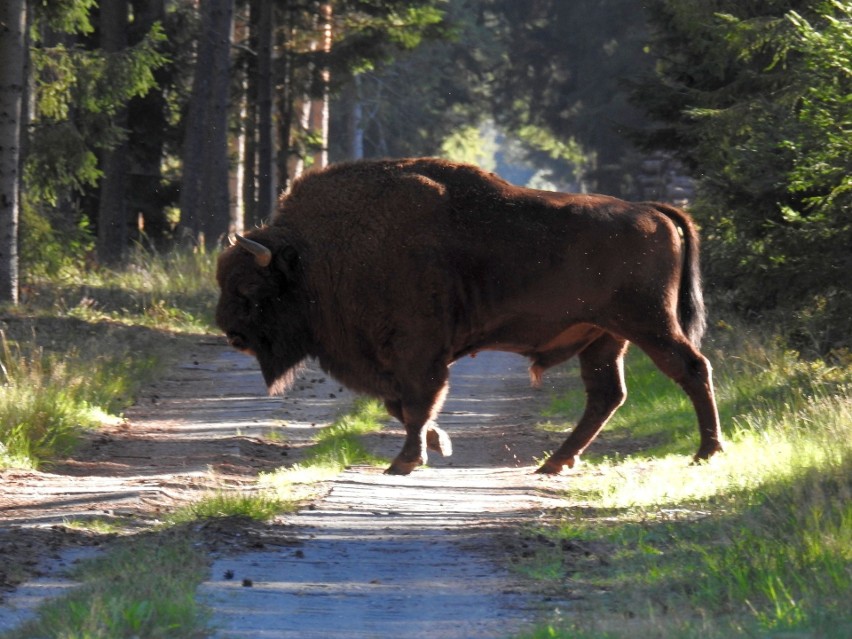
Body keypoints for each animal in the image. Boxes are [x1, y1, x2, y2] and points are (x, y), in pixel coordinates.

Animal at [216, 156, 724, 476]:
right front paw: (437, 443)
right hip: (603, 337)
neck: (314, 256)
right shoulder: (394, 359)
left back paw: (706, 452)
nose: (231, 334)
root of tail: (652, 211)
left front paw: (406, 461)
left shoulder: (417, 352)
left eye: (250, 290)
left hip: (649, 324)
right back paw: (554, 462)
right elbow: (401, 405)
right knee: (606, 395)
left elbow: (418, 402)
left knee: (690, 368)